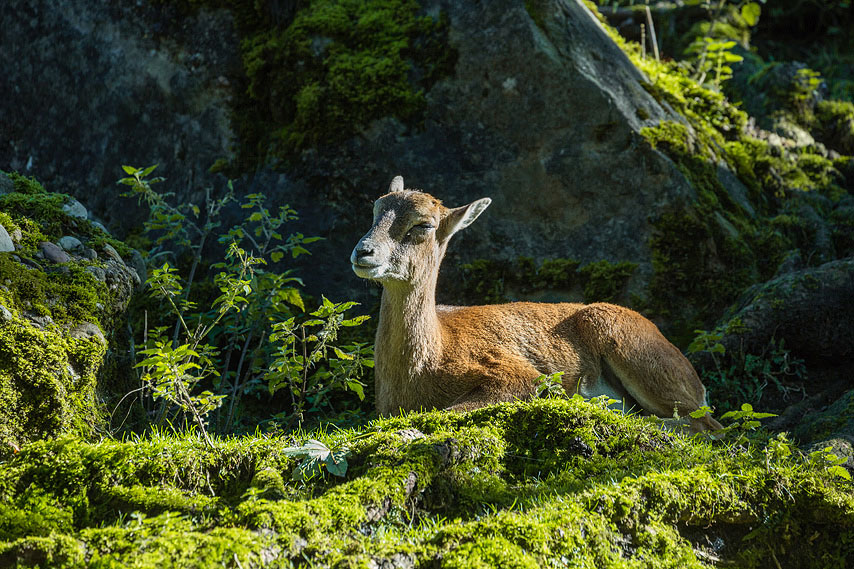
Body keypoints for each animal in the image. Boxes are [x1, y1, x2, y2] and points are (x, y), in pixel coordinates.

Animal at [350, 176, 722, 432]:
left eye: (423, 224)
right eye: (375, 210)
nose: (363, 251)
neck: (429, 363)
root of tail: (698, 383)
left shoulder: (516, 374)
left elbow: (450, 410)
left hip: (637, 352)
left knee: (706, 425)